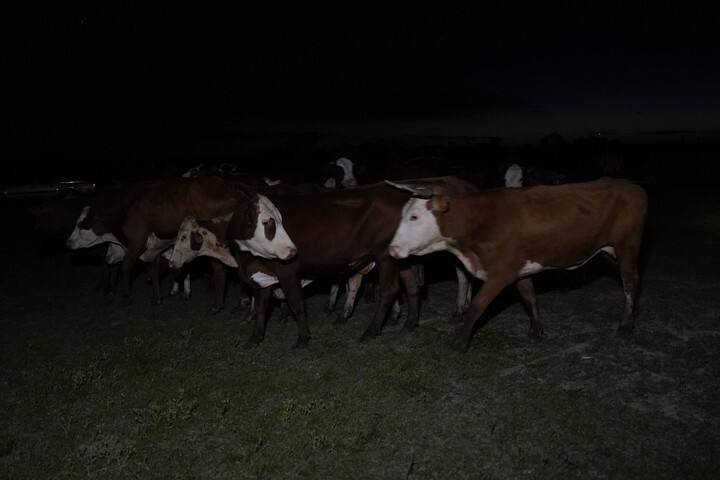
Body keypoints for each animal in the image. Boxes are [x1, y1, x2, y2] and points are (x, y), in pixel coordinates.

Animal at [387, 178, 648, 351]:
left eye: (414, 217)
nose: (392, 249)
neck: (478, 220)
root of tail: (633, 187)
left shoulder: (501, 272)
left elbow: (478, 304)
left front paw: (459, 341)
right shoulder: (520, 268)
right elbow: (529, 296)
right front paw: (536, 331)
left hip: (626, 247)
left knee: (630, 283)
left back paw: (626, 324)